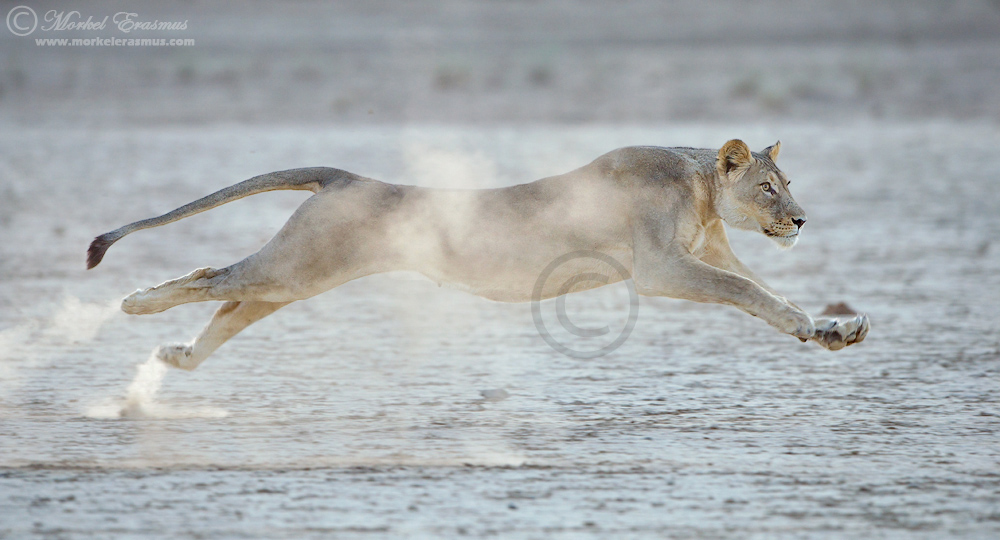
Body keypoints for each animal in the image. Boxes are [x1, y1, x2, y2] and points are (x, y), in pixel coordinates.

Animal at [87, 139, 869, 370]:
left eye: (787, 183)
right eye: (768, 187)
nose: (800, 219)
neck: (702, 189)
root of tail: (346, 177)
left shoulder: (709, 252)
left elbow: (761, 290)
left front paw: (835, 329)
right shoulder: (659, 267)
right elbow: (750, 295)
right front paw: (812, 325)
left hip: (300, 277)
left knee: (230, 304)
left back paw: (178, 358)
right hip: (300, 264)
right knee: (208, 275)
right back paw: (134, 303)